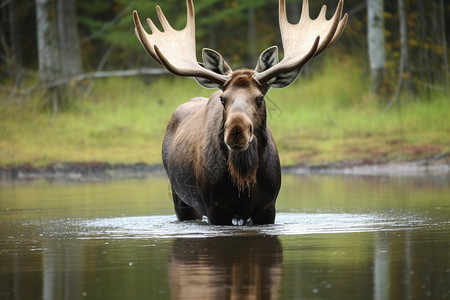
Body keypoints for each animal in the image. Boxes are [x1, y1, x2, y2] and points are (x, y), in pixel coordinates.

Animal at [132, 0, 346, 225]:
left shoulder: (268, 207)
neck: (244, 182)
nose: (236, 131)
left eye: (260, 98)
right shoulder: (215, 207)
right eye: (222, 98)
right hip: (180, 197)